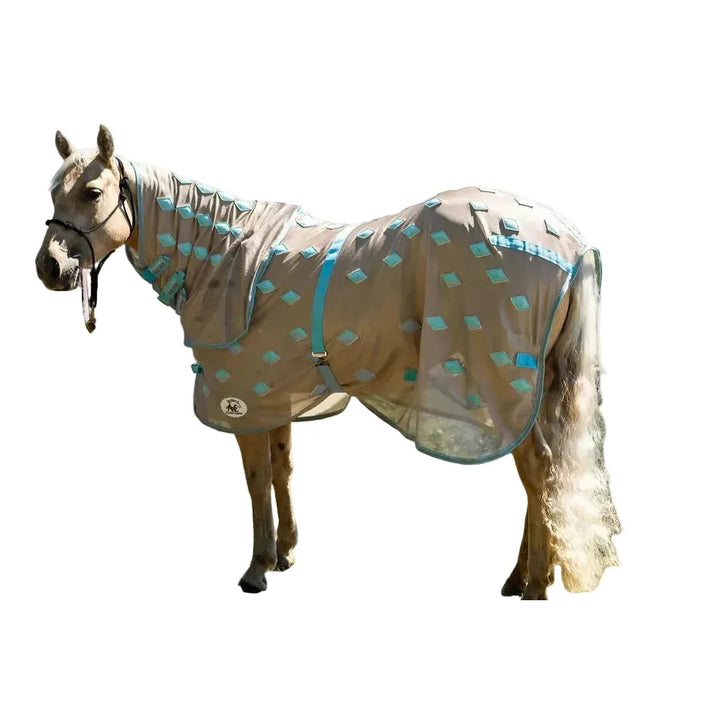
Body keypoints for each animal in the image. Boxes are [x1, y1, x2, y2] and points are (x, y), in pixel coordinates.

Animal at [35, 125, 620, 599]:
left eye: (92, 192)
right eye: (52, 191)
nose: (49, 267)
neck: (220, 258)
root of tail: (573, 247)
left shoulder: (241, 399)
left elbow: (256, 480)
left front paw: (256, 569)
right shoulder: (273, 397)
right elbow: (282, 468)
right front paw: (286, 553)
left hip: (502, 388)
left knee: (538, 471)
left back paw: (535, 586)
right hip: (532, 390)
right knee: (541, 477)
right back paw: (521, 577)